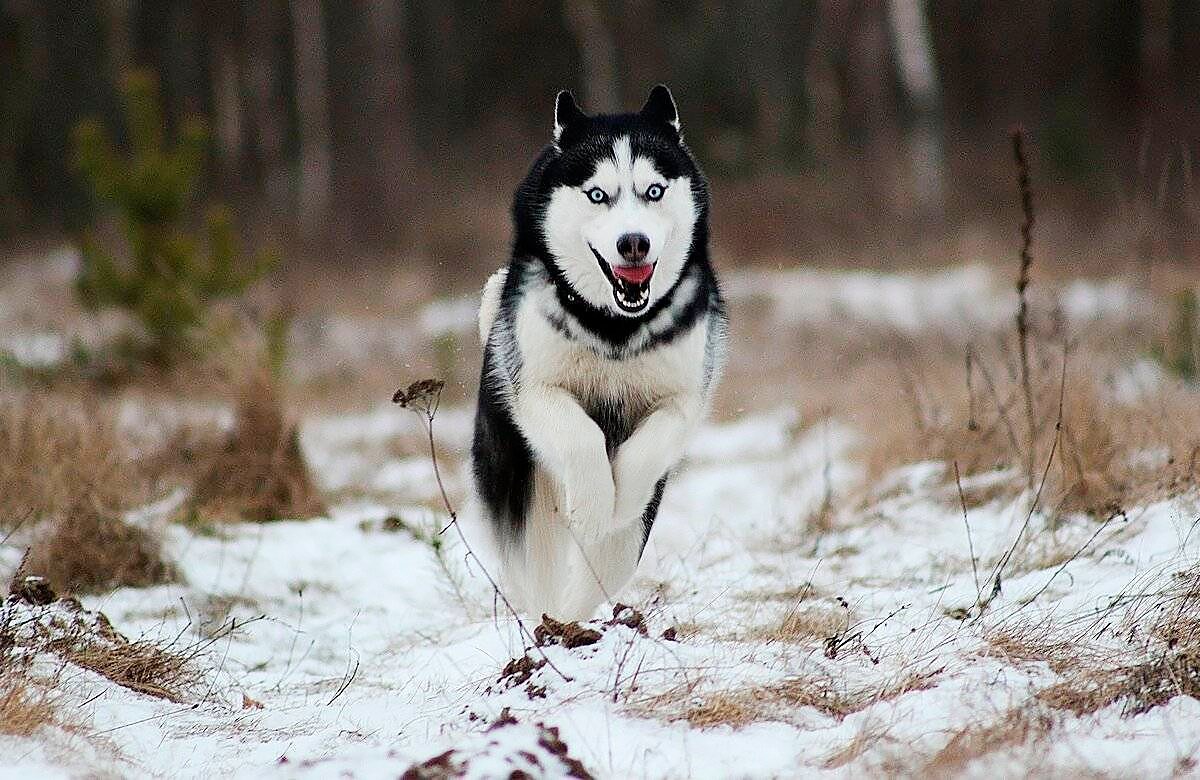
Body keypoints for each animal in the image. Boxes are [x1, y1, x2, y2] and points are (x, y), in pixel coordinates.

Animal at [472, 86, 724, 619]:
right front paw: (591, 505)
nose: (634, 243)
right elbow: (579, 436)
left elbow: (647, 451)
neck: (613, 327)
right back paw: (543, 618)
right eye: (597, 195)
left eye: (654, 191)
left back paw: (570, 618)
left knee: (606, 567)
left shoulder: (682, 400)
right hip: (514, 481)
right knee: (530, 567)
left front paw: (619, 498)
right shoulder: (536, 389)